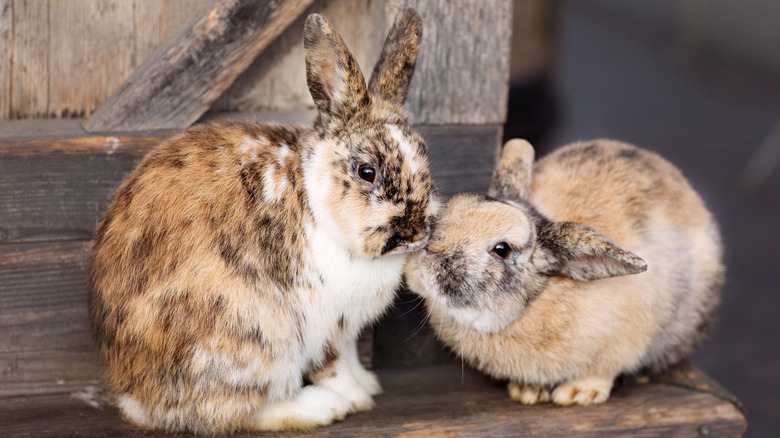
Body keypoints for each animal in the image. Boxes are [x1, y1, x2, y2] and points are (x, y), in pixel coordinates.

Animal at [88, 8, 436, 432]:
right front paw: (355, 398)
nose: (414, 233)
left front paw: (367, 385)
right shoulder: (323, 325)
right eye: (366, 172)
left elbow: (351, 356)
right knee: (235, 412)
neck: (315, 201)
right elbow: (333, 366)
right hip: (258, 339)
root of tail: (138, 398)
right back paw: (321, 407)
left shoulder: (346, 329)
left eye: (425, 158)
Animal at [406, 139, 724, 406]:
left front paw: (578, 394)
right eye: (455, 205)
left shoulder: (623, 343)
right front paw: (526, 392)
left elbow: (603, 371)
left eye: (502, 249)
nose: (429, 247)